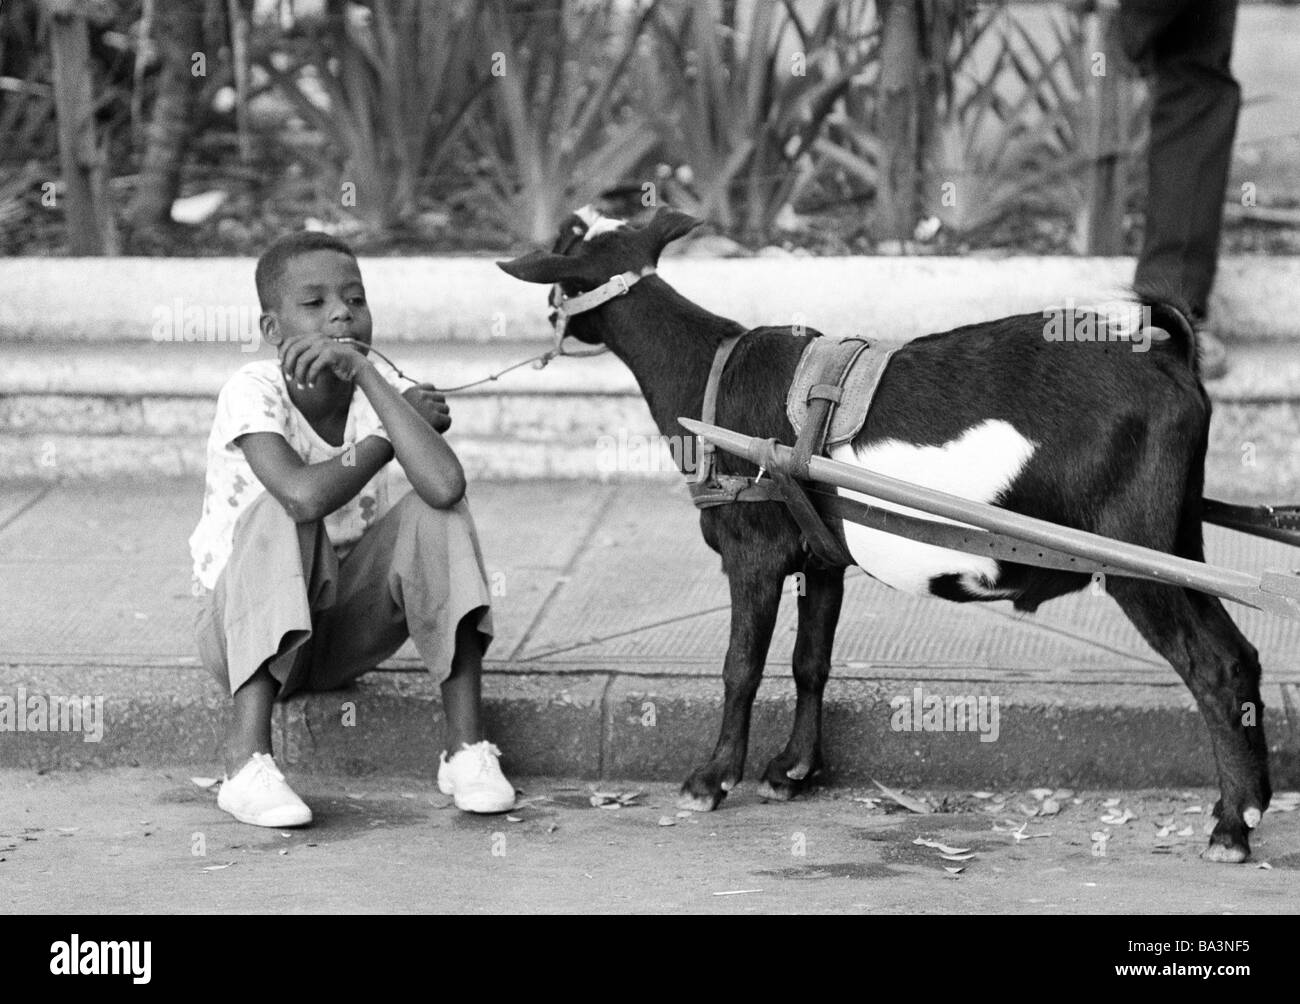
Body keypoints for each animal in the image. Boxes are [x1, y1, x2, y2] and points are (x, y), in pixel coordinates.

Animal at [496, 205, 1268, 863]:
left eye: (564, 248)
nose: (545, 317)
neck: (709, 373)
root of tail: (1170, 358)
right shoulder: (822, 558)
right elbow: (810, 661)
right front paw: (792, 771)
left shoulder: (754, 550)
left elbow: (741, 666)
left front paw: (710, 781)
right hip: (1182, 540)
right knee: (1240, 656)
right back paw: (1247, 807)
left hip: (1139, 554)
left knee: (1211, 666)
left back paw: (1230, 829)